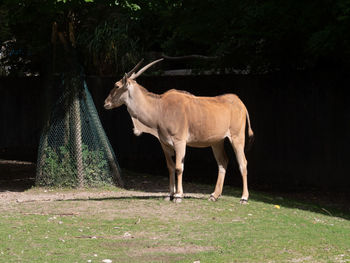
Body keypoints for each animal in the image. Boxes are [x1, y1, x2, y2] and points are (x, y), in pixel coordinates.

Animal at [104, 59, 254, 204]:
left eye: (116, 86)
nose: (106, 103)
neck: (160, 108)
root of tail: (240, 102)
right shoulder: (165, 144)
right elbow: (170, 167)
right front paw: (170, 194)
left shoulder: (179, 142)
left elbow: (178, 167)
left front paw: (178, 196)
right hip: (217, 142)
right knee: (222, 162)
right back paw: (214, 195)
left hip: (237, 138)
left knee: (243, 163)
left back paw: (244, 198)